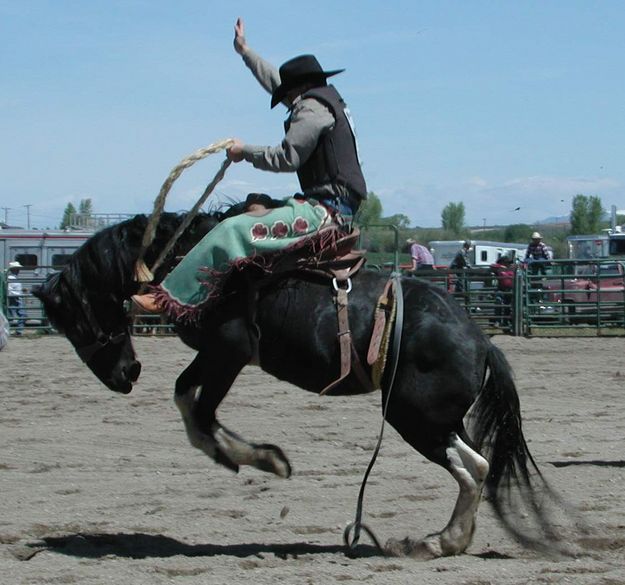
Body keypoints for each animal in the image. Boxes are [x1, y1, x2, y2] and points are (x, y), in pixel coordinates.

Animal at [33, 209, 572, 556]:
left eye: (74, 318)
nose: (124, 376)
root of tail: (481, 341)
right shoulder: (216, 356)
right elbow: (187, 400)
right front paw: (243, 455)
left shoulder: (229, 351)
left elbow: (199, 409)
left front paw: (260, 459)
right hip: (435, 419)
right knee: (476, 464)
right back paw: (447, 539)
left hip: (414, 418)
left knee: (473, 467)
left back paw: (441, 541)